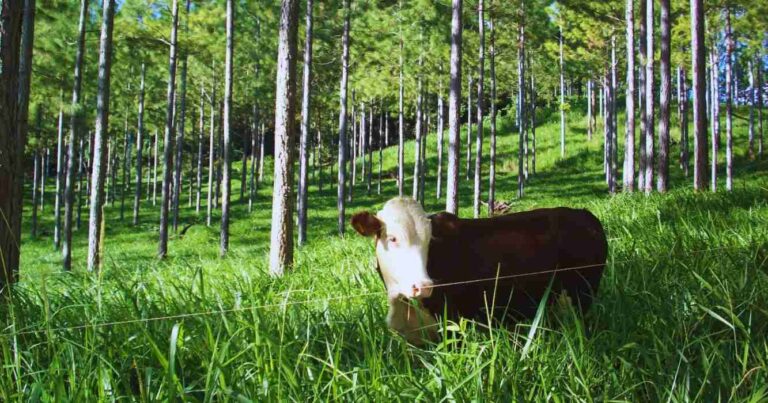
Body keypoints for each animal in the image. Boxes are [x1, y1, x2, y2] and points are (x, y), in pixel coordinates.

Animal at [352, 197, 608, 346]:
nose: (423, 286)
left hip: (582, 295)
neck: (401, 304)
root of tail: (583, 214)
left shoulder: (452, 324)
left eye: (430, 240)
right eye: (393, 238)